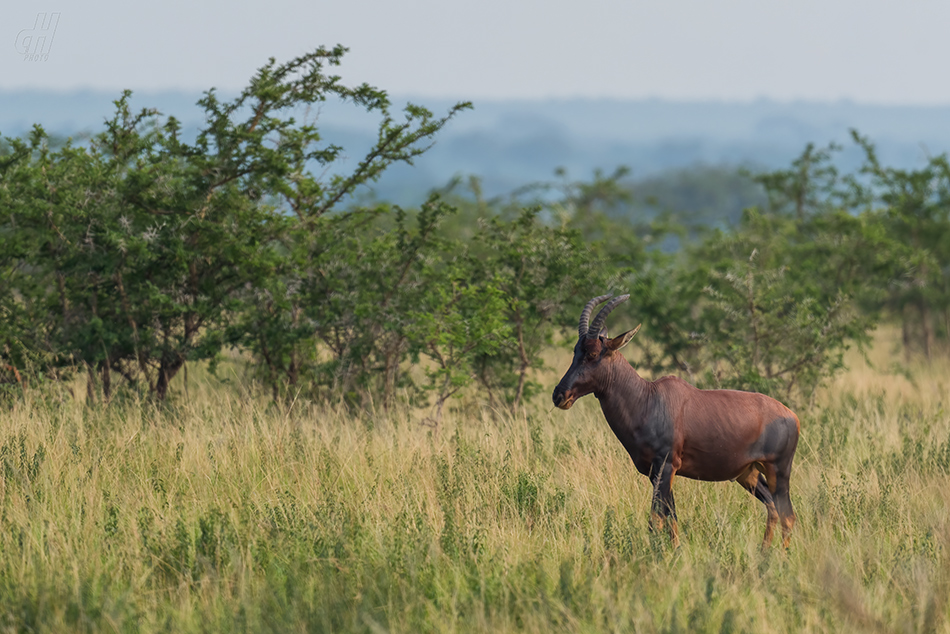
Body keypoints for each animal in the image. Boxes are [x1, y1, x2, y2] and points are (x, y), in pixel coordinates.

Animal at [556, 294, 800, 544]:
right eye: (576, 351)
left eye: (593, 354)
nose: (559, 395)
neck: (648, 398)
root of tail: (792, 415)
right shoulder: (656, 473)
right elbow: (671, 518)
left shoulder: (666, 466)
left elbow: (656, 520)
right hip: (748, 473)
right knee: (772, 507)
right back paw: (764, 551)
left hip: (779, 470)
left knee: (788, 515)